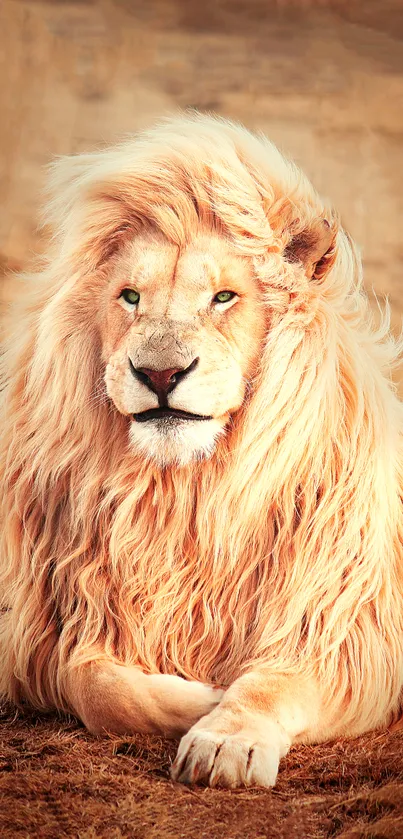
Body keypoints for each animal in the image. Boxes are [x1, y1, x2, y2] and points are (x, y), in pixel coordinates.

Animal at [0, 113, 403, 788]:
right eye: (130, 297)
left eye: (223, 298)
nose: (160, 374)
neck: (186, 496)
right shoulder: (55, 627)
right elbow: (96, 685)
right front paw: (201, 697)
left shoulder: (348, 629)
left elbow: (269, 683)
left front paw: (224, 738)